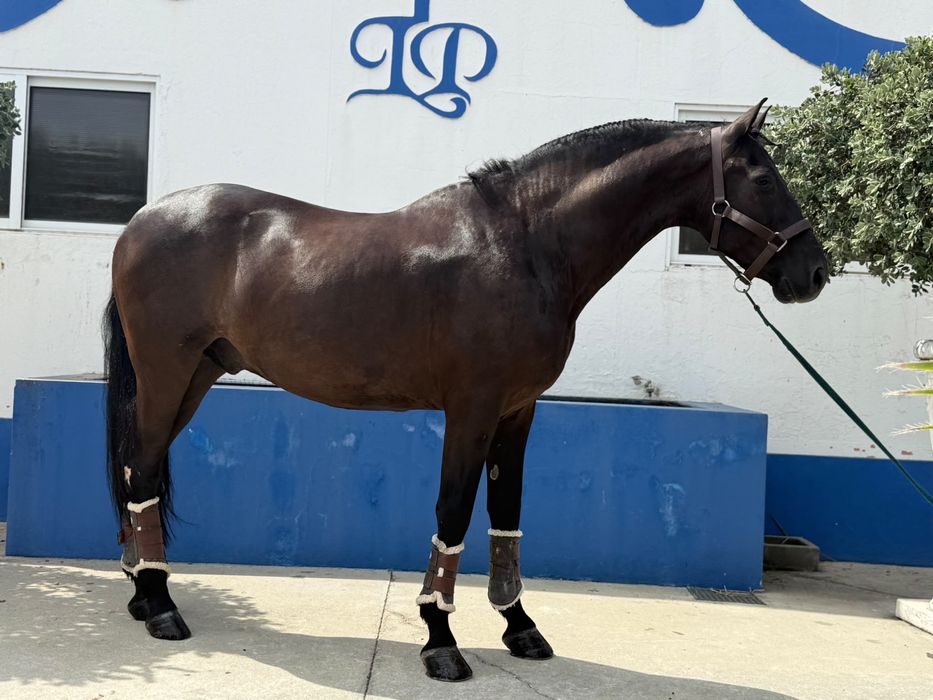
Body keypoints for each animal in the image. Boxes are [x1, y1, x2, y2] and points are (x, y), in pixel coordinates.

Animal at [103, 99, 827, 682]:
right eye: (764, 178)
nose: (813, 272)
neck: (527, 244)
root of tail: (140, 222)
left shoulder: (517, 411)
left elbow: (507, 513)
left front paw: (520, 626)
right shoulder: (471, 408)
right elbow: (453, 512)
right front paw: (440, 639)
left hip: (197, 375)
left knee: (139, 467)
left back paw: (143, 592)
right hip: (168, 372)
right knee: (144, 470)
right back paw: (161, 606)